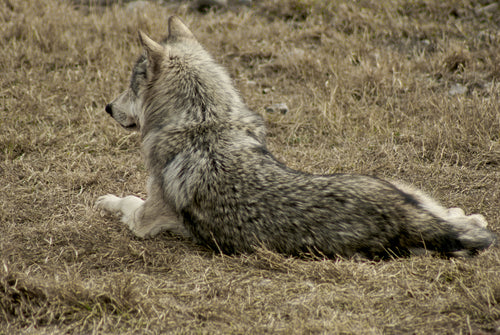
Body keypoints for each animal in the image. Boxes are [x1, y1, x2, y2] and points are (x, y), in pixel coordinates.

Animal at [95, 15, 494, 260]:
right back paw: (466, 217)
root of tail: (399, 214)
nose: (108, 107)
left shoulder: (145, 220)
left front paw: (105, 200)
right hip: (406, 190)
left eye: (130, 86)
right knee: (464, 220)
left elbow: (124, 199)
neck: (206, 121)